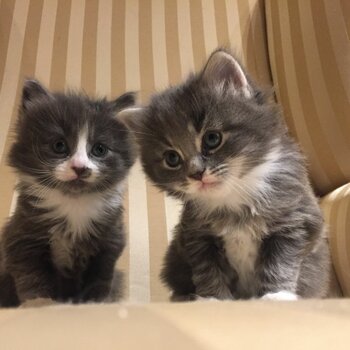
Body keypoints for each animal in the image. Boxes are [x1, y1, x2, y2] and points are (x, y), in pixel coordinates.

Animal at [0, 79, 136, 306]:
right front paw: (40, 304)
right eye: (59, 145)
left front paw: (95, 304)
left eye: (99, 149)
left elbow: (100, 278)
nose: (80, 168)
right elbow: (32, 277)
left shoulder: (109, 241)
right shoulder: (22, 239)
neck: (73, 204)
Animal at [119, 48, 330, 300]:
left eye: (212, 139)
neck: (233, 199)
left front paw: (276, 295)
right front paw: (212, 298)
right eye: (172, 158)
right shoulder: (197, 236)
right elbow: (208, 271)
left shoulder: (294, 222)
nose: (196, 173)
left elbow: (279, 264)